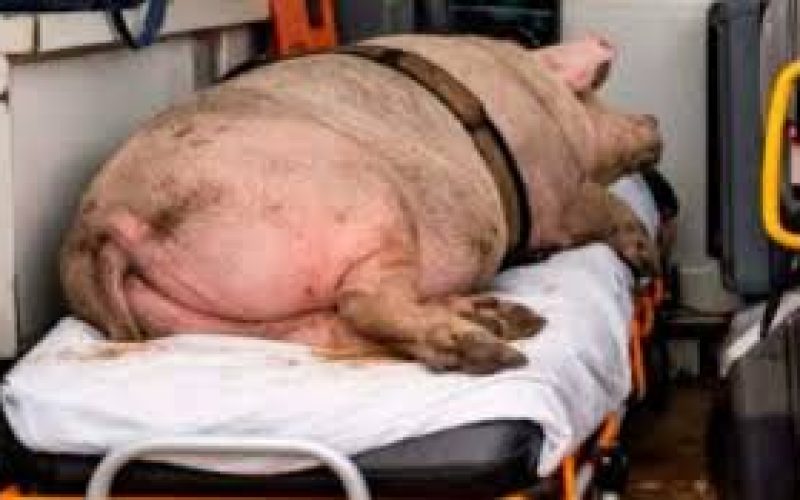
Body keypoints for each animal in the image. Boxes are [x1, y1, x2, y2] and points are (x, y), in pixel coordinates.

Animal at [59, 34, 662, 375]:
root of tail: (102, 219)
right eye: (597, 93)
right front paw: (647, 260)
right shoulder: (552, 190)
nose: (653, 120)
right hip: (372, 206)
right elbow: (601, 204)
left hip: (210, 321)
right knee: (364, 303)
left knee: (330, 330)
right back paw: (494, 348)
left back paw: (505, 320)